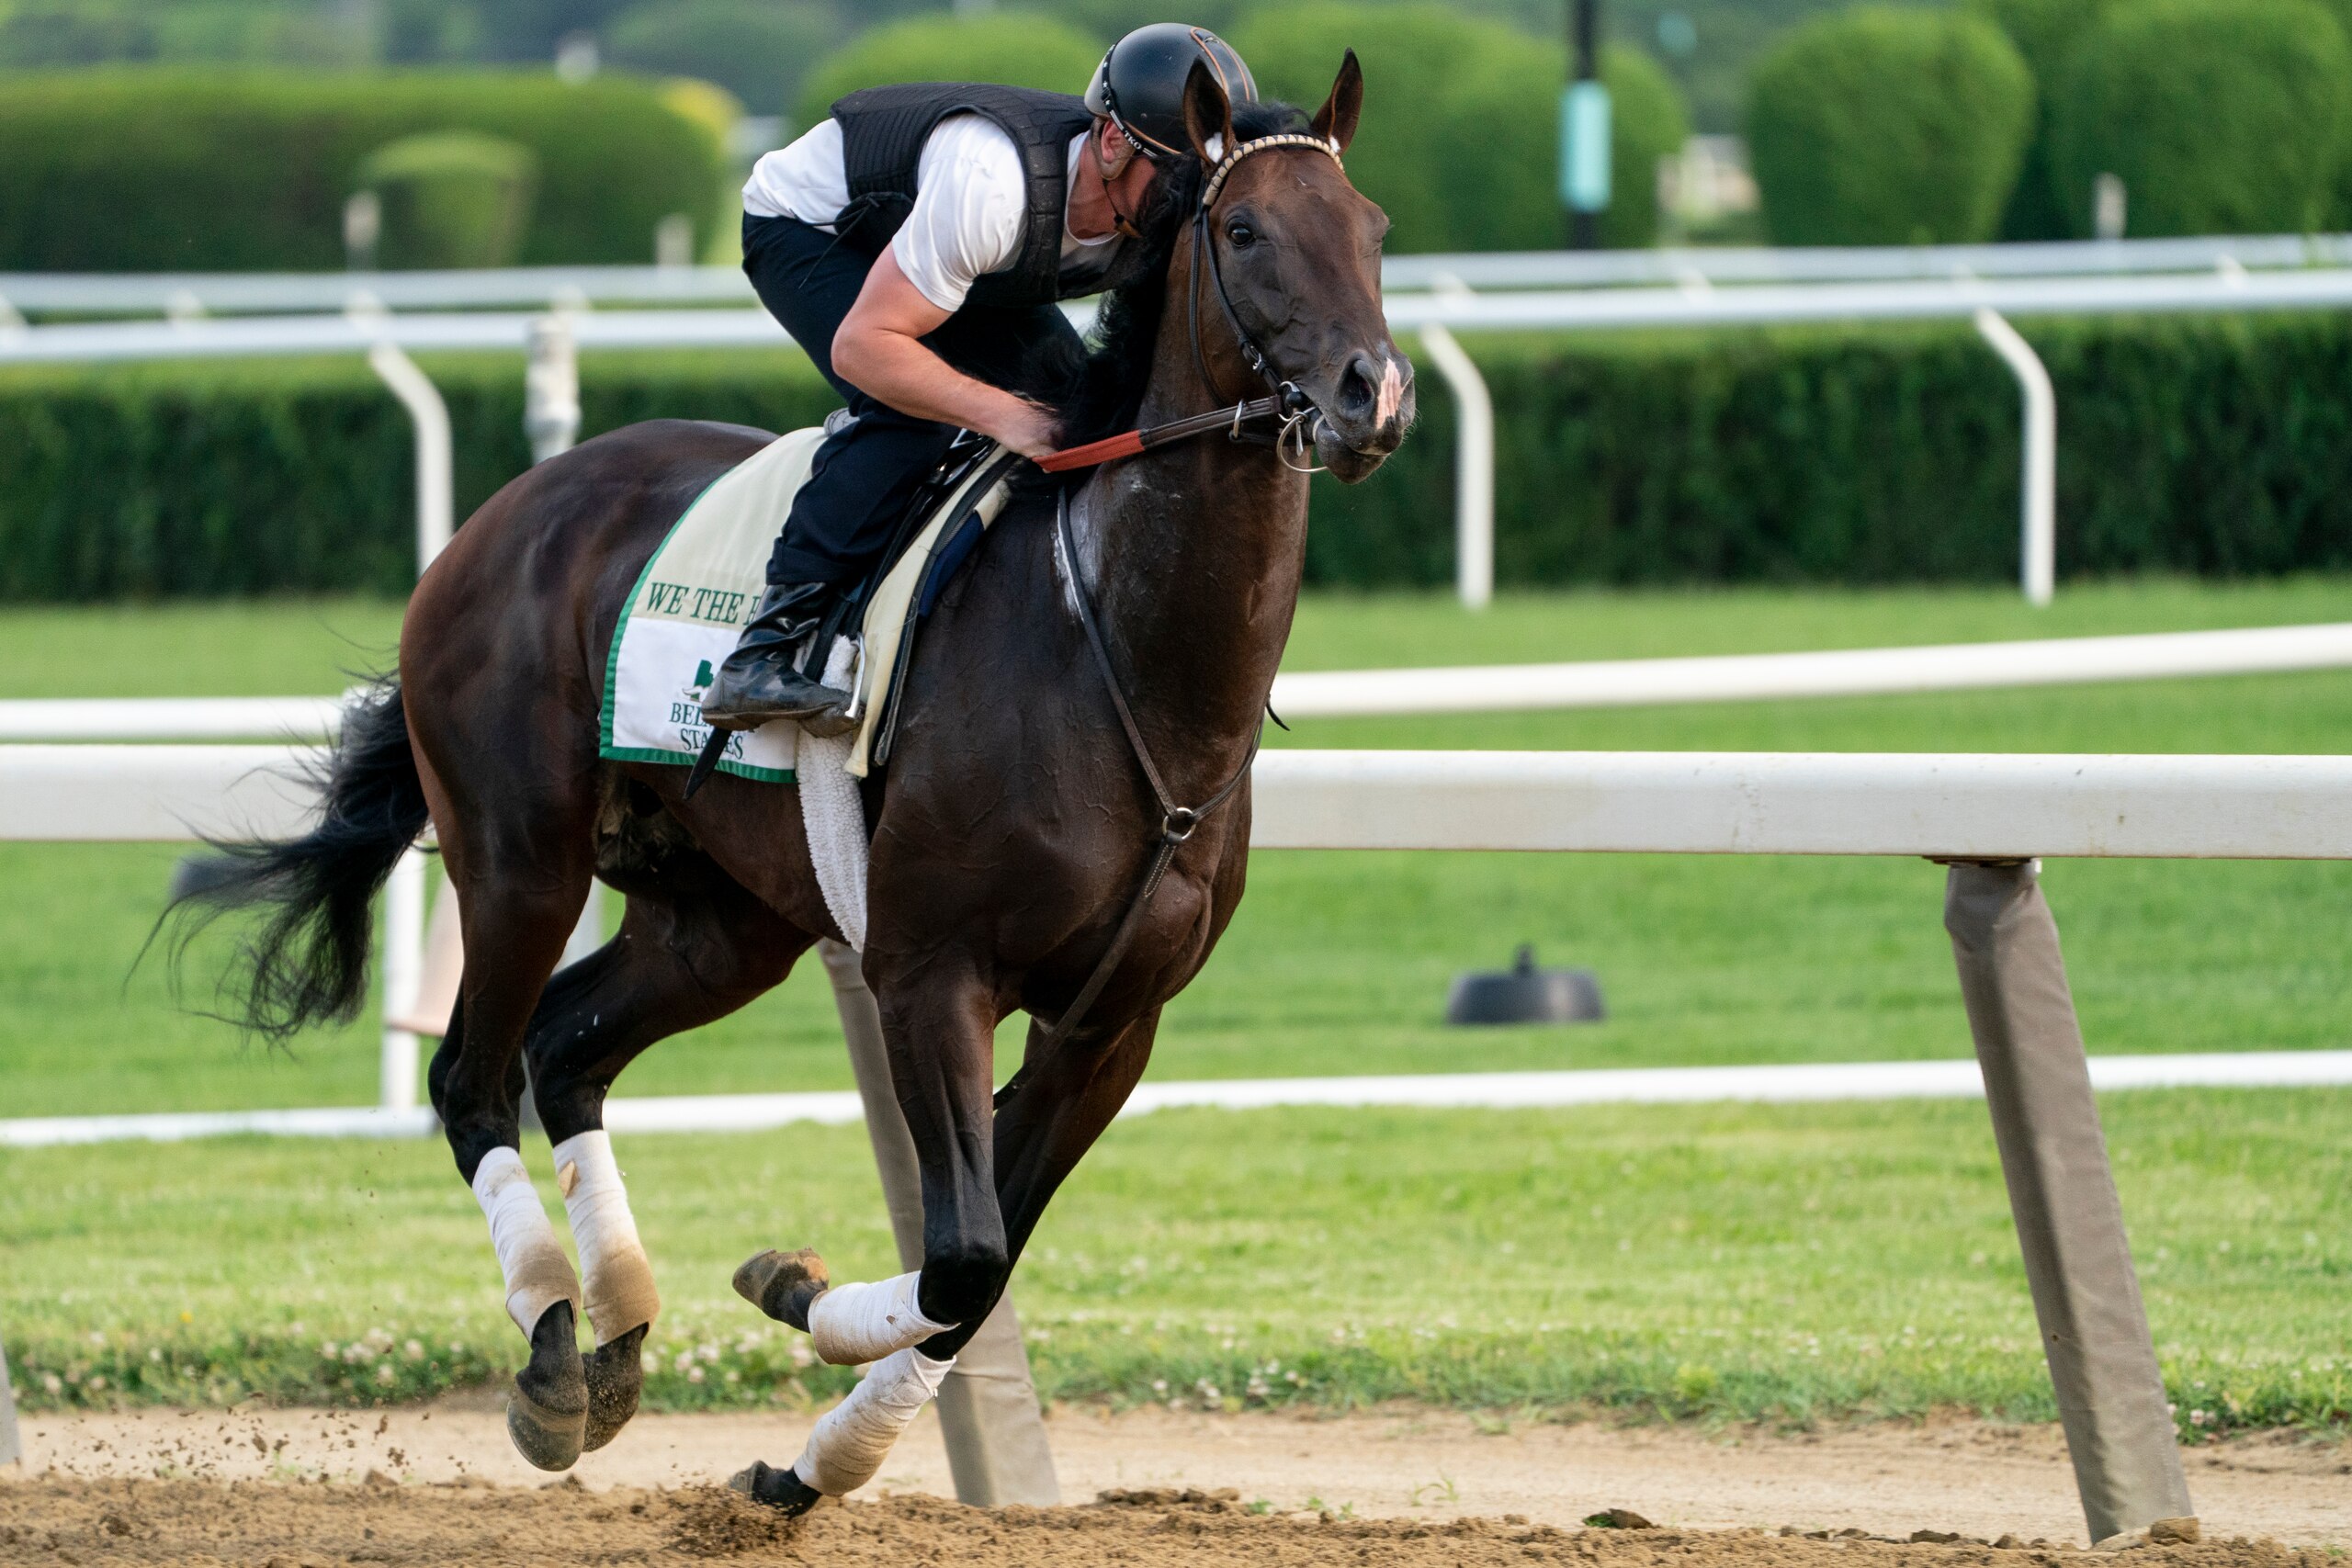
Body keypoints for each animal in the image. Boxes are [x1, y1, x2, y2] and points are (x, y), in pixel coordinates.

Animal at [174, 55, 1410, 1506]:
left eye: (1373, 229)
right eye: (1246, 230)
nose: (1371, 394)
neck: (1120, 652)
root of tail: (499, 516)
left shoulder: (1112, 1025)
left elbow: (983, 1264)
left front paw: (818, 1456)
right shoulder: (929, 970)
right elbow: (962, 1255)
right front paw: (796, 1295)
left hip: (721, 918)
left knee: (565, 1045)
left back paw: (618, 1334)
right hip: (520, 858)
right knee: (473, 1078)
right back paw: (552, 1354)